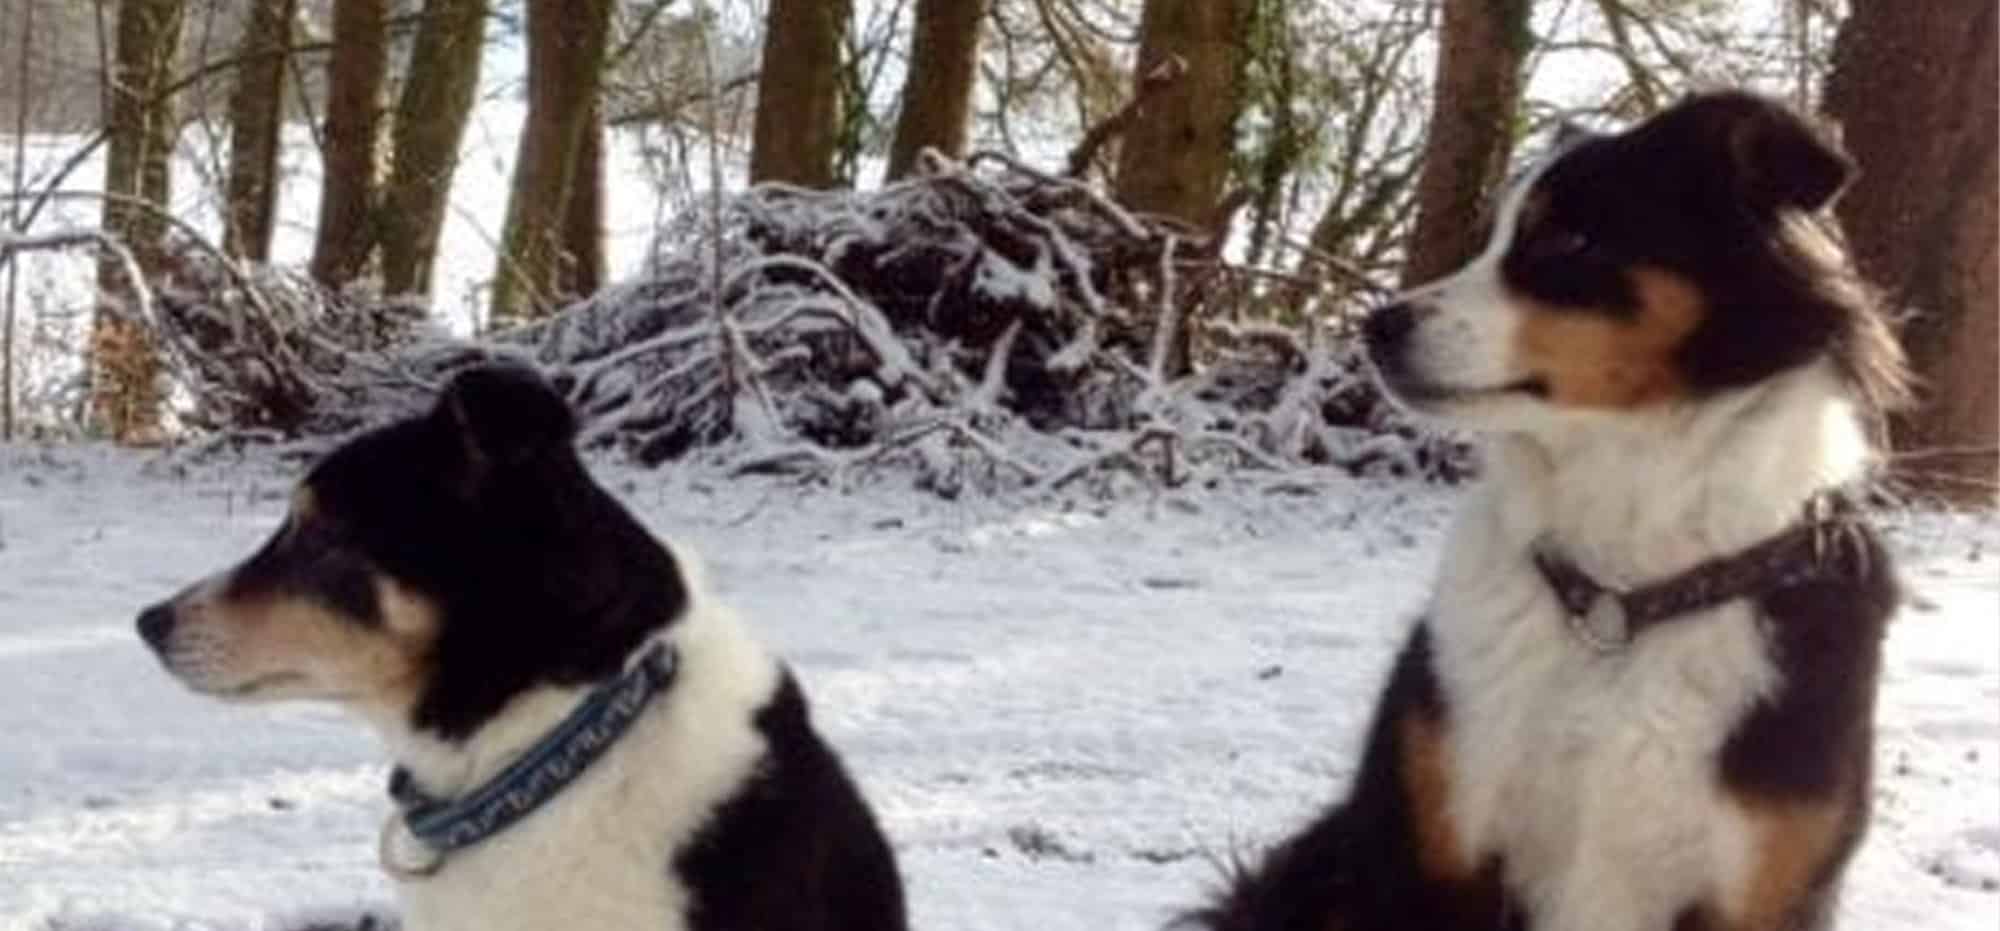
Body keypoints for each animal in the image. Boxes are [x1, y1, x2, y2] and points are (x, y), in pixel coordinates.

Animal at [1184, 88, 1904, 931]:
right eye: (1491, 240)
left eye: (1567, 237)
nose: (1377, 325)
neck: (1626, 593)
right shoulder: (1434, 843)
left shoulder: (1761, 889)